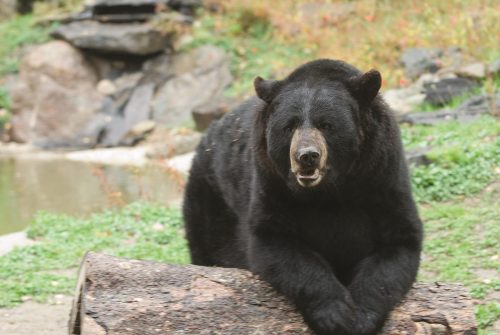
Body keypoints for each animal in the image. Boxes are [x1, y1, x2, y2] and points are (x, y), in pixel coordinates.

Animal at [183, 59, 422, 334]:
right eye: (289, 126)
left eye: (326, 124)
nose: (307, 156)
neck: (329, 190)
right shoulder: (272, 183)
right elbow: (276, 242)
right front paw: (335, 314)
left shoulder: (381, 176)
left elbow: (398, 241)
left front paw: (361, 316)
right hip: (212, 203)